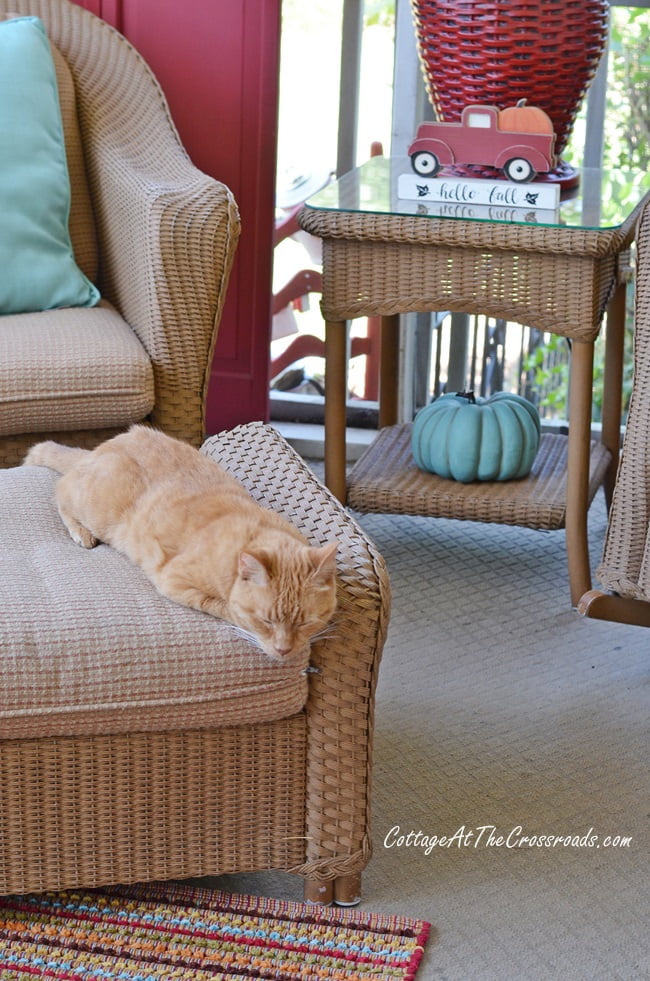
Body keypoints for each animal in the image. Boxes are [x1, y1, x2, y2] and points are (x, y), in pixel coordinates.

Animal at [24, 426, 340, 664]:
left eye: (304, 623)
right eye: (265, 621)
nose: (284, 650)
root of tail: (101, 448)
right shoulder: (174, 581)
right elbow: (225, 608)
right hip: (95, 508)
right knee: (61, 490)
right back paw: (81, 531)